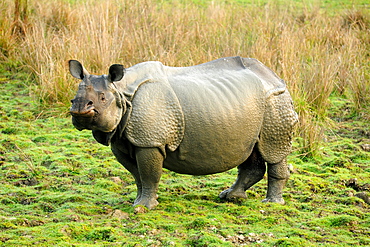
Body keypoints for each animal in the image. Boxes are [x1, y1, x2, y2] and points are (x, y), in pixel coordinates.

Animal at [69, 57, 300, 209]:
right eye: (73, 98)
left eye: (101, 99)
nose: (78, 109)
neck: (121, 91)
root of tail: (275, 76)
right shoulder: (122, 139)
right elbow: (137, 175)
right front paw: (137, 202)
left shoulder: (150, 141)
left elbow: (149, 174)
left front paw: (144, 207)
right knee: (252, 150)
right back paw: (230, 197)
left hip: (275, 101)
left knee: (274, 150)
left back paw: (271, 203)